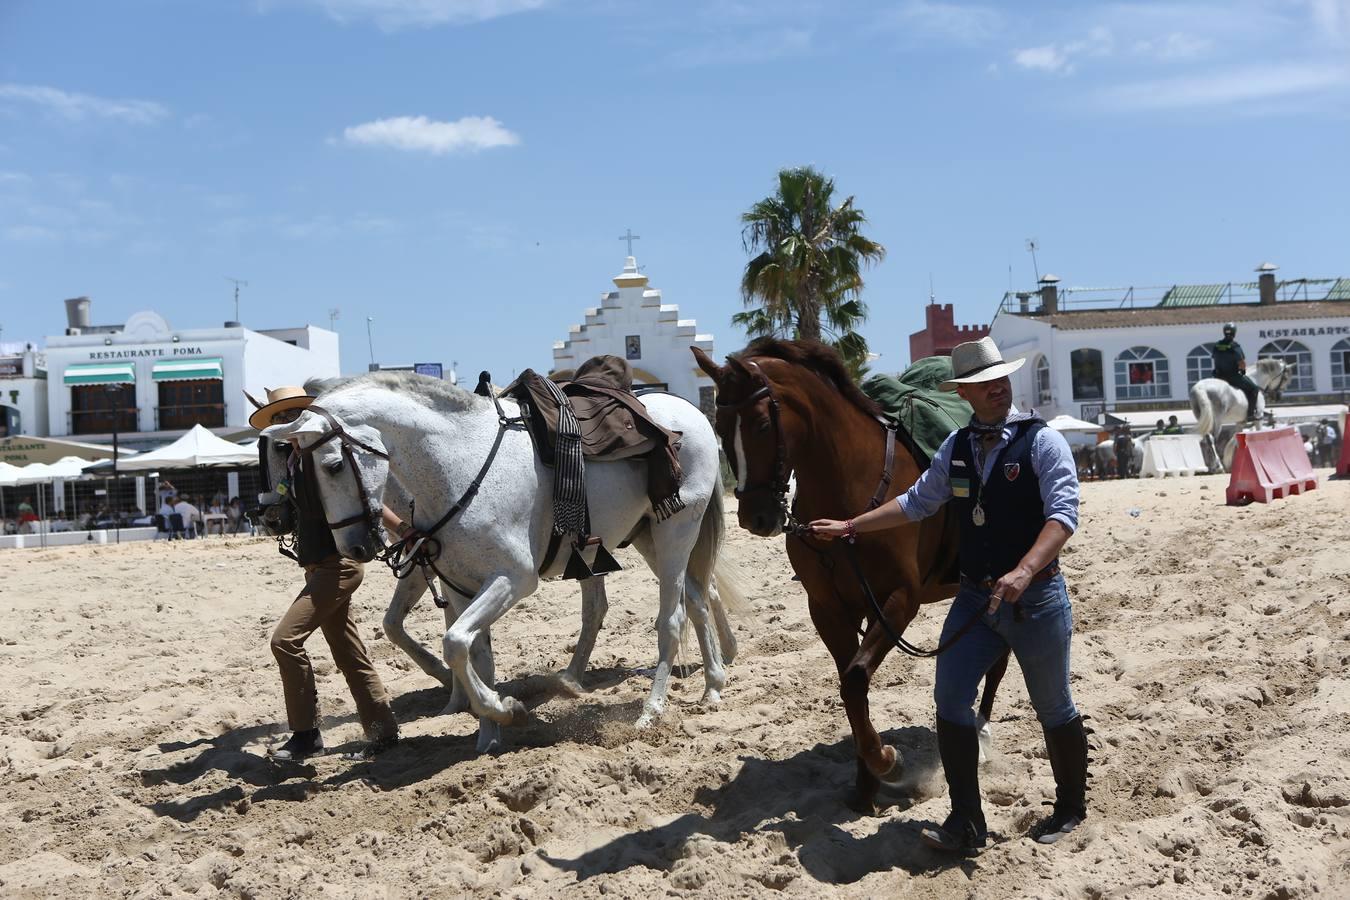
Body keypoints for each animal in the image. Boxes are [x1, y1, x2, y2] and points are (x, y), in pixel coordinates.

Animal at [696, 340, 1004, 814]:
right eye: (720, 426)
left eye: (763, 424)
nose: (755, 516)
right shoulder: (829, 610)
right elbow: (849, 689)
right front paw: (865, 787)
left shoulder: (899, 601)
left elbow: (857, 677)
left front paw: (887, 764)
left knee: (1000, 659)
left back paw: (983, 738)